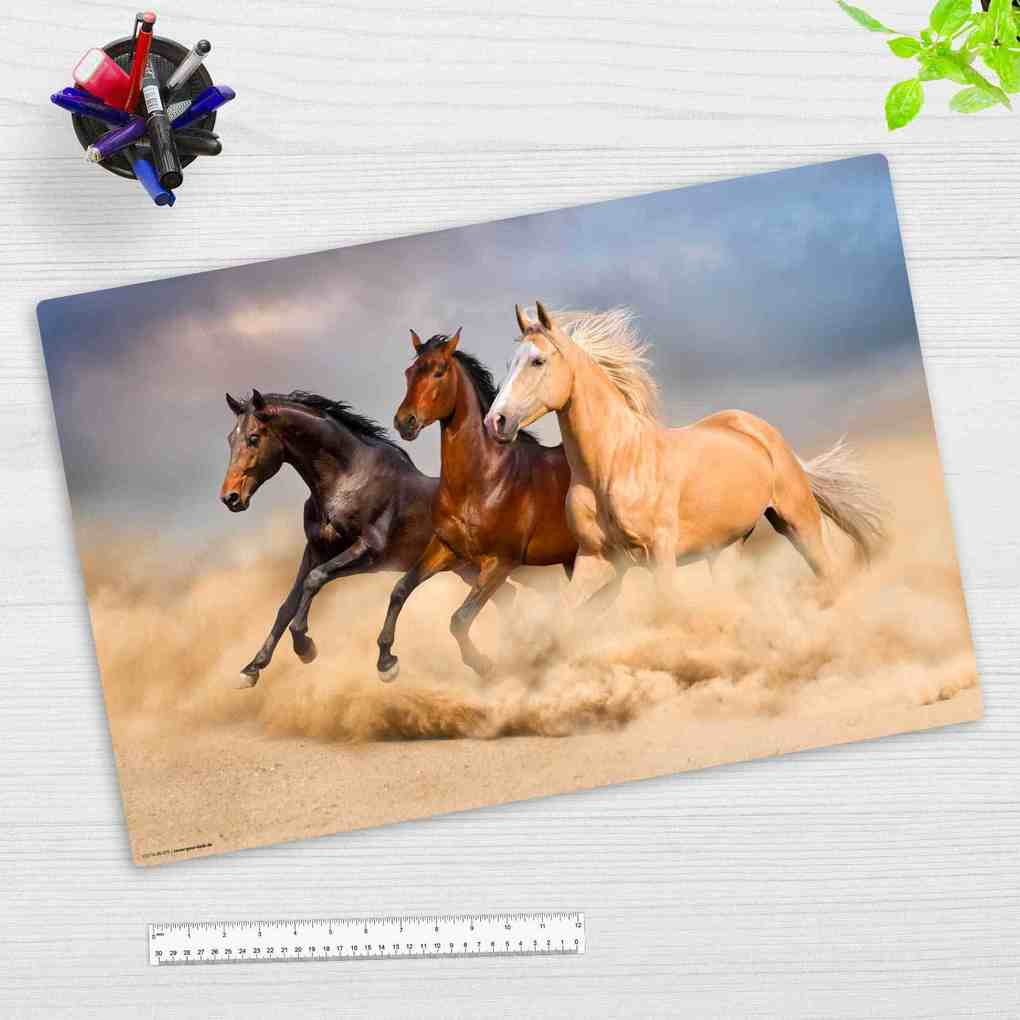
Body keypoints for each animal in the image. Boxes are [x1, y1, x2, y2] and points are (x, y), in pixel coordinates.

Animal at [220, 388, 479, 688]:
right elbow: (287, 605)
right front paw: (252, 668)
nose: (230, 498)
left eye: (253, 438)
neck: (347, 480)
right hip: (468, 571)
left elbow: (315, 579)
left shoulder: (368, 552)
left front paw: (305, 646)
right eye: (230, 439)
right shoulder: (316, 550)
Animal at [375, 328, 577, 680]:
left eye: (439, 371)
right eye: (409, 373)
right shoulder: (447, 548)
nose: (405, 422)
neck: (482, 481)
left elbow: (459, 619)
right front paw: (386, 661)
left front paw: (484, 665)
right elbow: (401, 588)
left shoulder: (500, 563)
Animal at [484, 303, 886, 609]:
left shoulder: (660, 555)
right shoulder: (595, 558)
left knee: (829, 574)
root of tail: (766, 434)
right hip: (726, 549)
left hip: (798, 523)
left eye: (537, 361)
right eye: (509, 363)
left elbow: (669, 610)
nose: (495, 421)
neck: (613, 464)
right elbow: (565, 617)